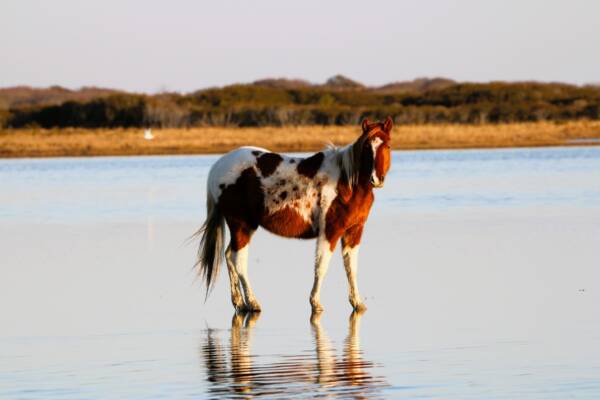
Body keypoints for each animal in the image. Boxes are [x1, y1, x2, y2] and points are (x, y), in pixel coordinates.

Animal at [196, 117, 394, 314]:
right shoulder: (330, 231)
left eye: (388, 145)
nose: (377, 179)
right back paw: (253, 303)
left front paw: (357, 303)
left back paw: (239, 303)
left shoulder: (354, 231)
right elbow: (321, 266)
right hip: (241, 225)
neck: (346, 184)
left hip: (244, 227)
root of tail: (217, 166)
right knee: (239, 261)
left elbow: (351, 268)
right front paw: (315, 303)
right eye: (367, 146)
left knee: (229, 257)